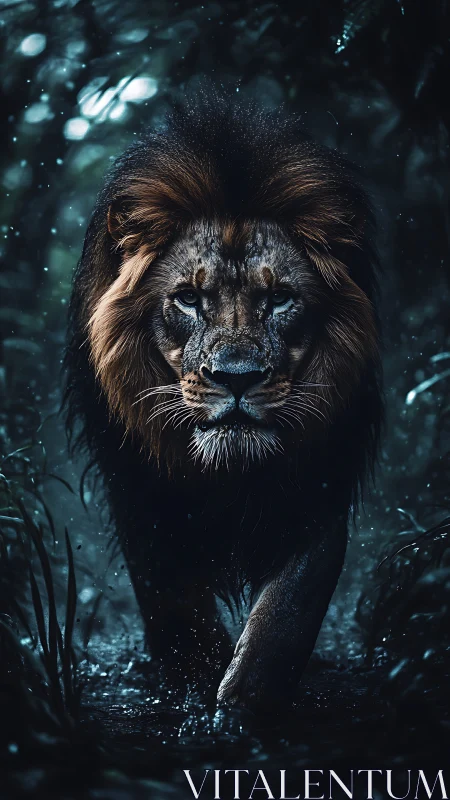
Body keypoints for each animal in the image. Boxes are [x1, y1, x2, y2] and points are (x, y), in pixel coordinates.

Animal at [64, 95, 382, 713]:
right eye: (188, 298)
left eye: (280, 298)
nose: (237, 379)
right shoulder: (142, 499)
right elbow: (176, 610)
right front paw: (194, 688)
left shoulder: (318, 486)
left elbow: (286, 615)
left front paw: (242, 706)